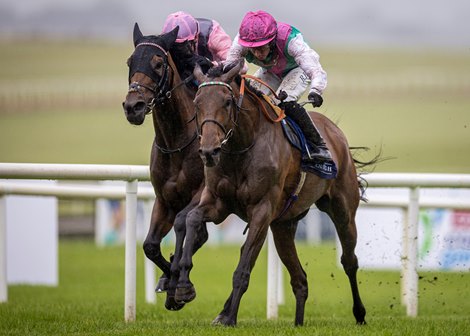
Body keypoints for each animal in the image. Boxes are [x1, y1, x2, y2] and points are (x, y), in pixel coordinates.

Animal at [122, 23, 210, 312]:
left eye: (158, 64)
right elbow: (150, 245)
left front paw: (180, 285)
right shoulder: (164, 199)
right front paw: (167, 282)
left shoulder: (202, 192)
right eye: (130, 62)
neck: (178, 141)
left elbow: (183, 223)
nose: (133, 107)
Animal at [174, 61, 370, 326]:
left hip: (343, 211)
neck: (241, 148)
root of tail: (336, 134)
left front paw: (230, 318)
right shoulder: (218, 203)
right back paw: (298, 322)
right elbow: (193, 218)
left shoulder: (262, 211)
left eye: (227, 101)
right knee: (300, 278)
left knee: (349, 261)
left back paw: (359, 313)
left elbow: (243, 267)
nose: (208, 151)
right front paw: (184, 287)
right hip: (283, 225)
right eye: (197, 102)